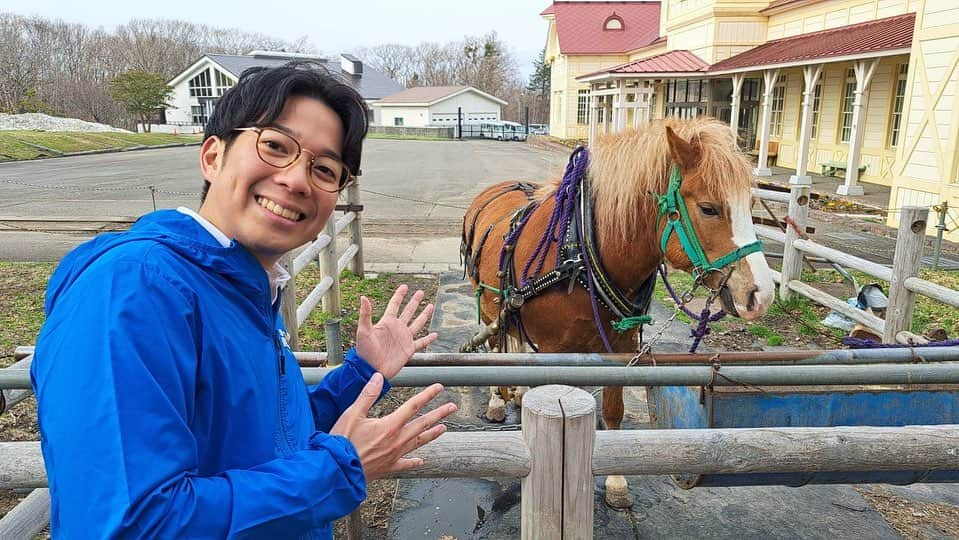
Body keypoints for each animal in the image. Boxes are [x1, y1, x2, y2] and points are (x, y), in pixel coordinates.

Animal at [462, 117, 776, 506]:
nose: (762, 294)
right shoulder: (553, 350)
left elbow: (613, 410)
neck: (581, 252)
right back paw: (496, 399)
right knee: (495, 346)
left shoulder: (622, 346)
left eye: (751, 204)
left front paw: (615, 481)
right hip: (489, 304)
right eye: (708, 208)